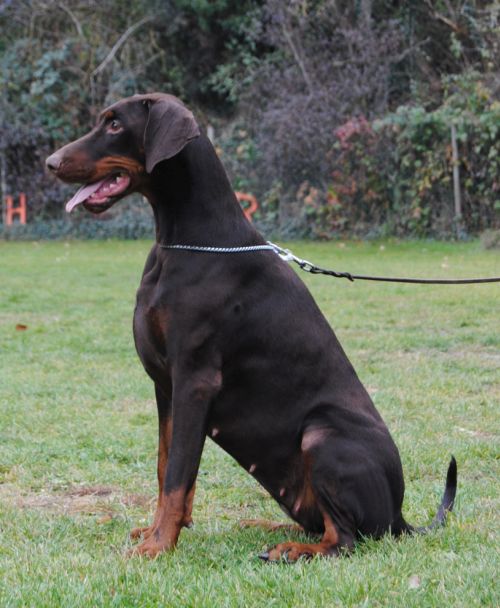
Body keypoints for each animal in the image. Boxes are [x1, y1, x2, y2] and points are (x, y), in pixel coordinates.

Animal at [46, 93, 456, 560]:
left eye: (115, 124)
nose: (51, 162)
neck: (185, 242)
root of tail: (400, 515)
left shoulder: (195, 380)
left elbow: (177, 474)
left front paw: (158, 546)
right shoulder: (165, 386)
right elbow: (166, 466)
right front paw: (159, 532)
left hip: (322, 435)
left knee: (346, 540)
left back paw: (291, 550)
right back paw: (266, 526)